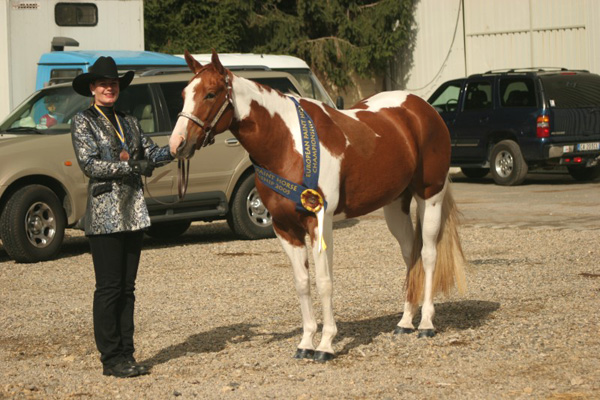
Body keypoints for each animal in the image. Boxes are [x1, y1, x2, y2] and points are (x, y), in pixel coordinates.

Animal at [169, 50, 464, 362]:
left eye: (210, 94)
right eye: (184, 93)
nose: (177, 144)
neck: (287, 145)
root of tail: (423, 109)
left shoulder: (320, 222)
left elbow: (324, 282)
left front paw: (325, 344)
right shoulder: (284, 228)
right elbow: (302, 283)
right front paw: (305, 342)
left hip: (430, 196)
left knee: (428, 254)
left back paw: (427, 324)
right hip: (395, 205)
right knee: (411, 255)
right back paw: (405, 322)